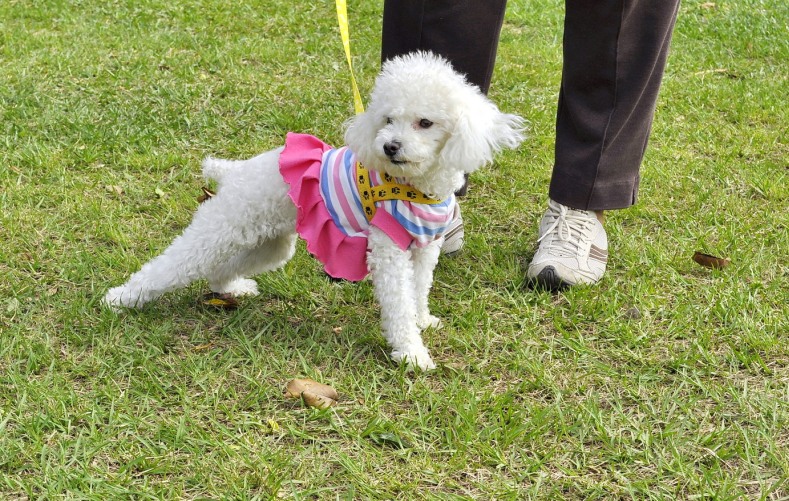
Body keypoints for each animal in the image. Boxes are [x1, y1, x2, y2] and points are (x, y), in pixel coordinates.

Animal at [104, 52, 524, 370]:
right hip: (219, 229)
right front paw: (412, 353)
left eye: (425, 122)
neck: (416, 187)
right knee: (171, 265)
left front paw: (424, 322)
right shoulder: (389, 251)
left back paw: (231, 288)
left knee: (221, 268)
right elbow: (399, 304)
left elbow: (418, 291)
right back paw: (120, 298)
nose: (389, 146)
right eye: (388, 119)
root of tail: (233, 171)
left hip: (270, 243)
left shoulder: (423, 250)